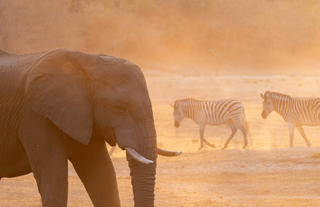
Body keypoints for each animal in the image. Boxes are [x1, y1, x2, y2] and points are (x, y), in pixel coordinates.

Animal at [0, 49, 181, 207]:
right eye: (119, 107)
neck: (88, 62)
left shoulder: (87, 116)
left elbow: (103, 176)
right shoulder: (34, 116)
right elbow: (53, 179)